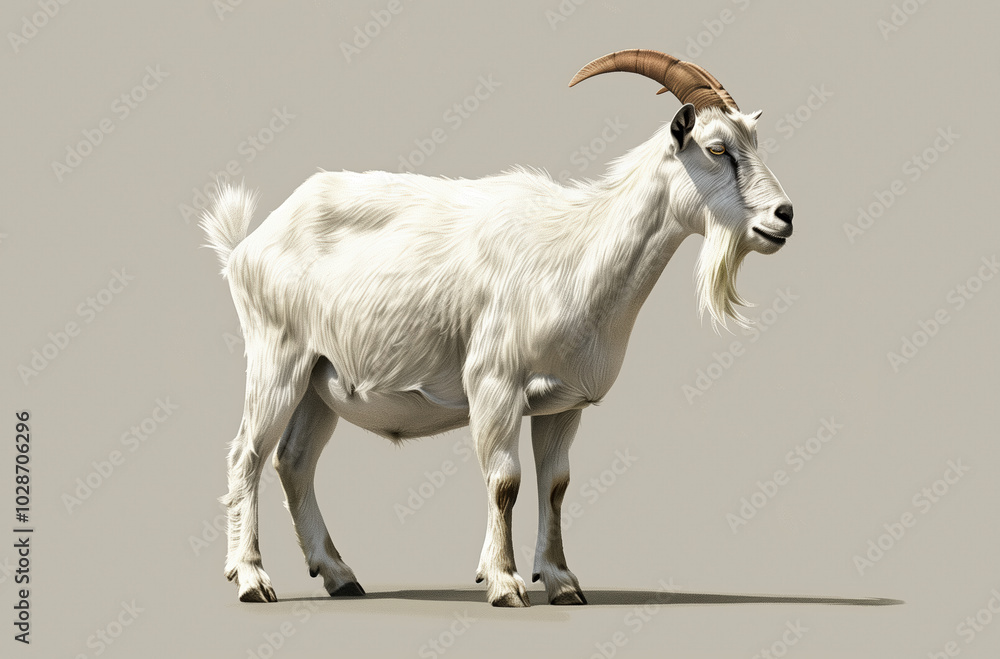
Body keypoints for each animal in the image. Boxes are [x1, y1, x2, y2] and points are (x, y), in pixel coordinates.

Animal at [201, 49, 794, 607]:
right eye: (716, 148)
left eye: (753, 141)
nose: (784, 216)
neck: (575, 249)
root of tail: (247, 243)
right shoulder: (494, 383)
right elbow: (504, 481)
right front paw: (505, 582)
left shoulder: (563, 404)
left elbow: (555, 486)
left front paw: (561, 582)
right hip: (277, 359)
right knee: (246, 455)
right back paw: (251, 579)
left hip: (320, 382)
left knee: (294, 460)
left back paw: (340, 575)